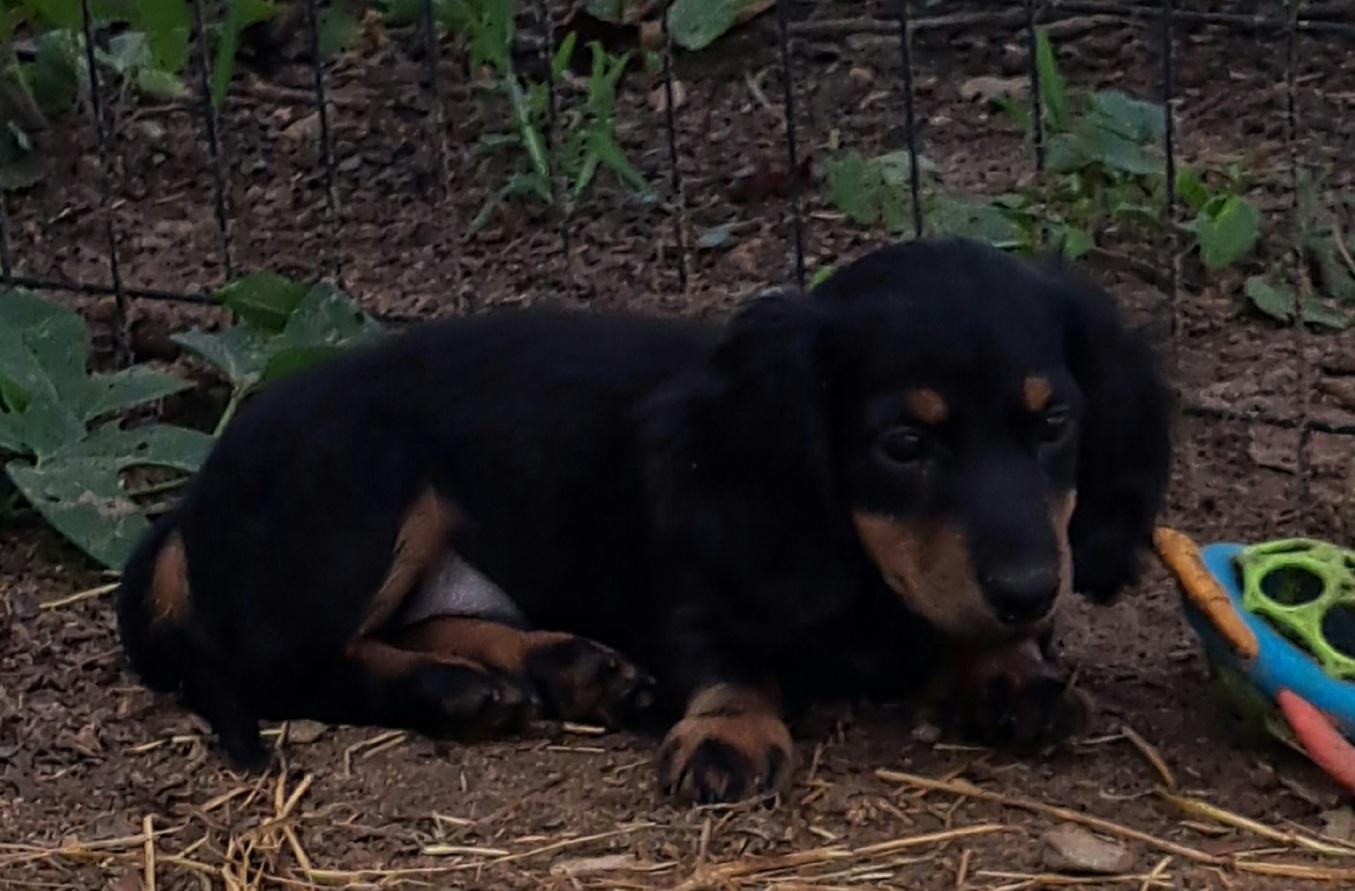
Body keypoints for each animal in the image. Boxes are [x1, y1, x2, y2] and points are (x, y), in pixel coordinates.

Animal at [117, 238, 1171, 803]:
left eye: (1055, 422)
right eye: (903, 444)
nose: (1030, 590)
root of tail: (188, 504)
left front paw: (1009, 670)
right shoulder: (691, 579)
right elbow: (725, 657)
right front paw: (728, 732)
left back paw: (559, 666)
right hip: (372, 483)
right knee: (285, 662)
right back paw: (448, 690)